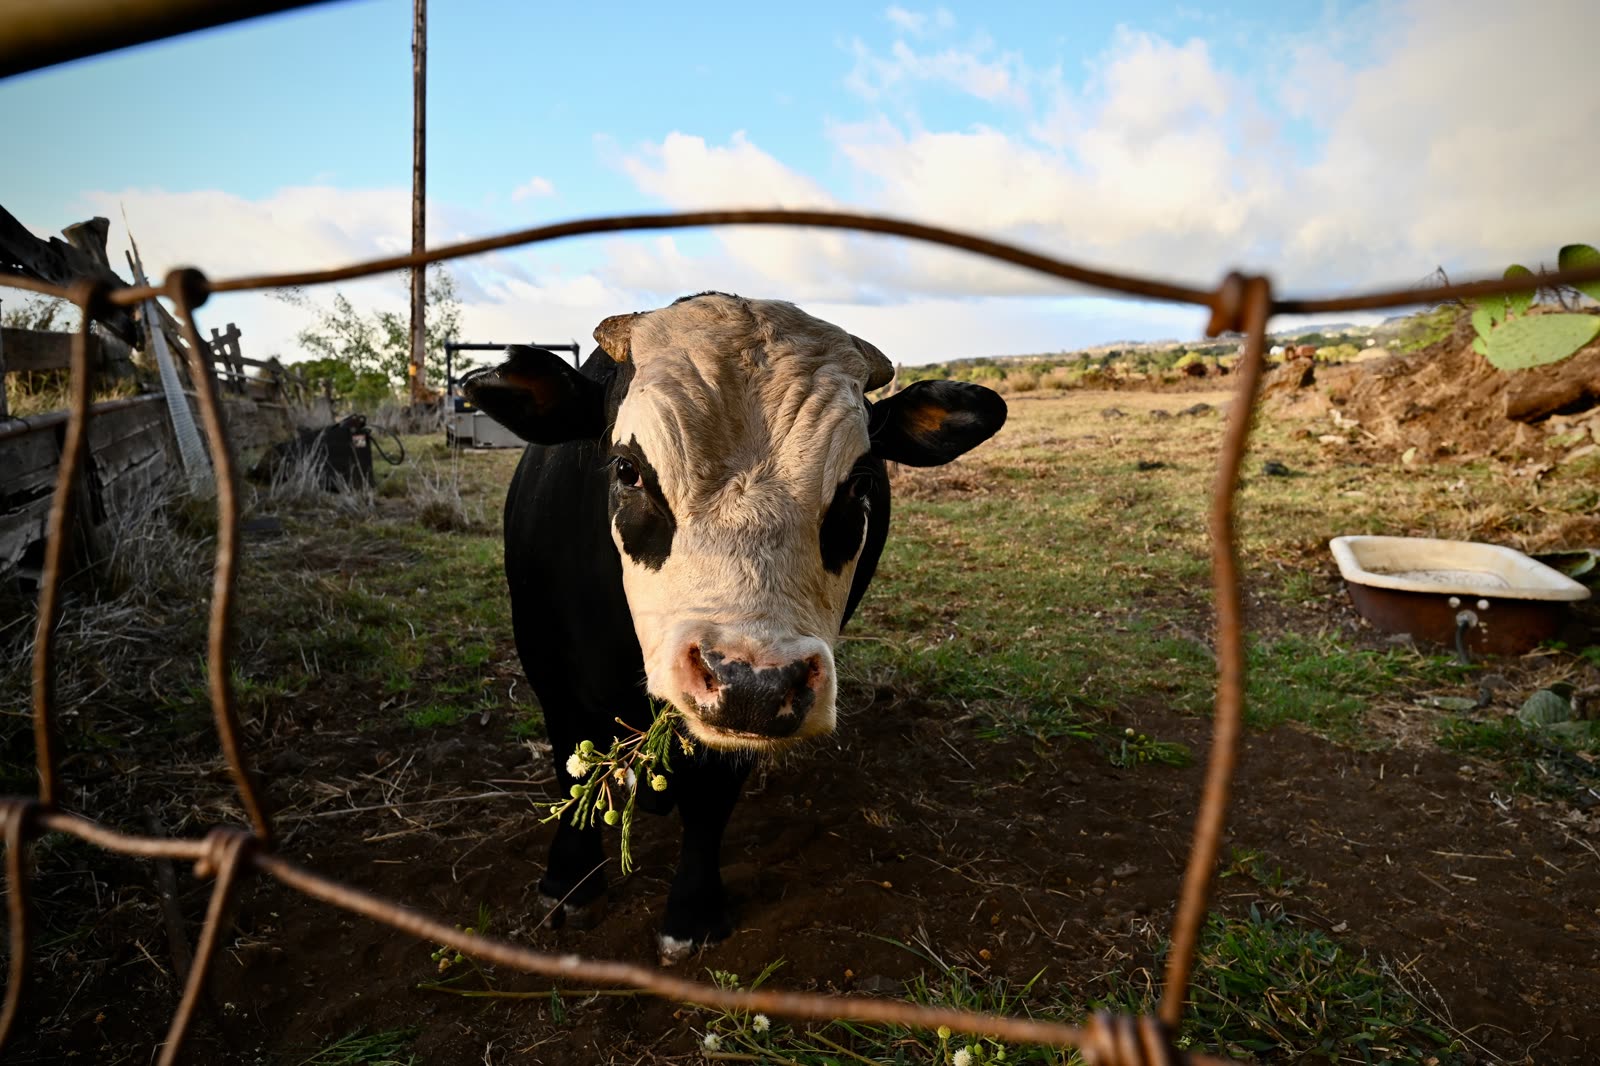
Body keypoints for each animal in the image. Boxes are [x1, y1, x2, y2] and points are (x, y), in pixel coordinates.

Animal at [465, 292, 1006, 962]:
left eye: (858, 485)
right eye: (626, 469)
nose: (754, 683)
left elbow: (710, 802)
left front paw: (692, 913)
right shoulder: (552, 674)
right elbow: (573, 771)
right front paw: (570, 883)